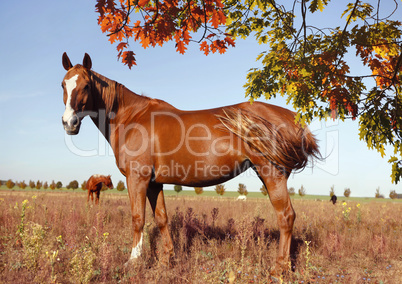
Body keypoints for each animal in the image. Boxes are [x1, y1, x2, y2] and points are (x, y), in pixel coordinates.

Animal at [59, 52, 318, 276]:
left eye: (86, 85)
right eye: (63, 85)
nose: (69, 123)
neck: (132, 118)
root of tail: (291, 117)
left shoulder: (137, 178)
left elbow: (137, 219)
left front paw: (133, 261)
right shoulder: (154, 183)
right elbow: (162, 219)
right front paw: (167, 260)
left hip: (272, 173)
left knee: (286, 217)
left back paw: (279, 268)